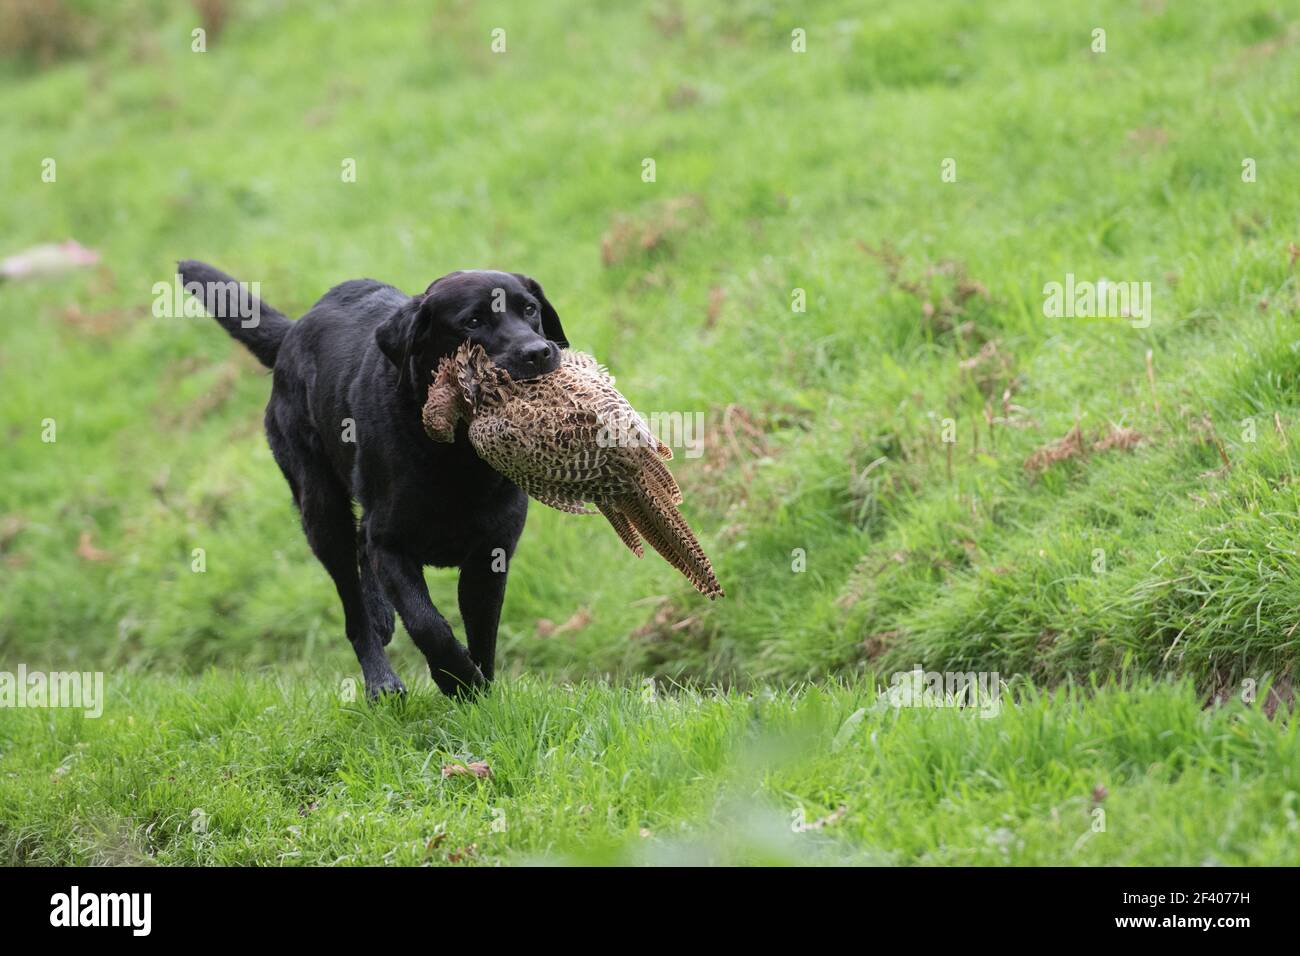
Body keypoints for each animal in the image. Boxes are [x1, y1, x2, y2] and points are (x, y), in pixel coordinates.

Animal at [180, 257, 566, 697]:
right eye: (472, 321)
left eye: (530, 310)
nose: (538, 352)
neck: (456, 456)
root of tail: (294, 330)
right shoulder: (390, 544)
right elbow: (427, 623)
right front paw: (456, 680)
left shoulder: (491, 552)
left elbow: (482, 629)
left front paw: (480, 690)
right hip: (321, 511)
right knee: (354, 606)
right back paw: (381, 681)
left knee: (362, 549)